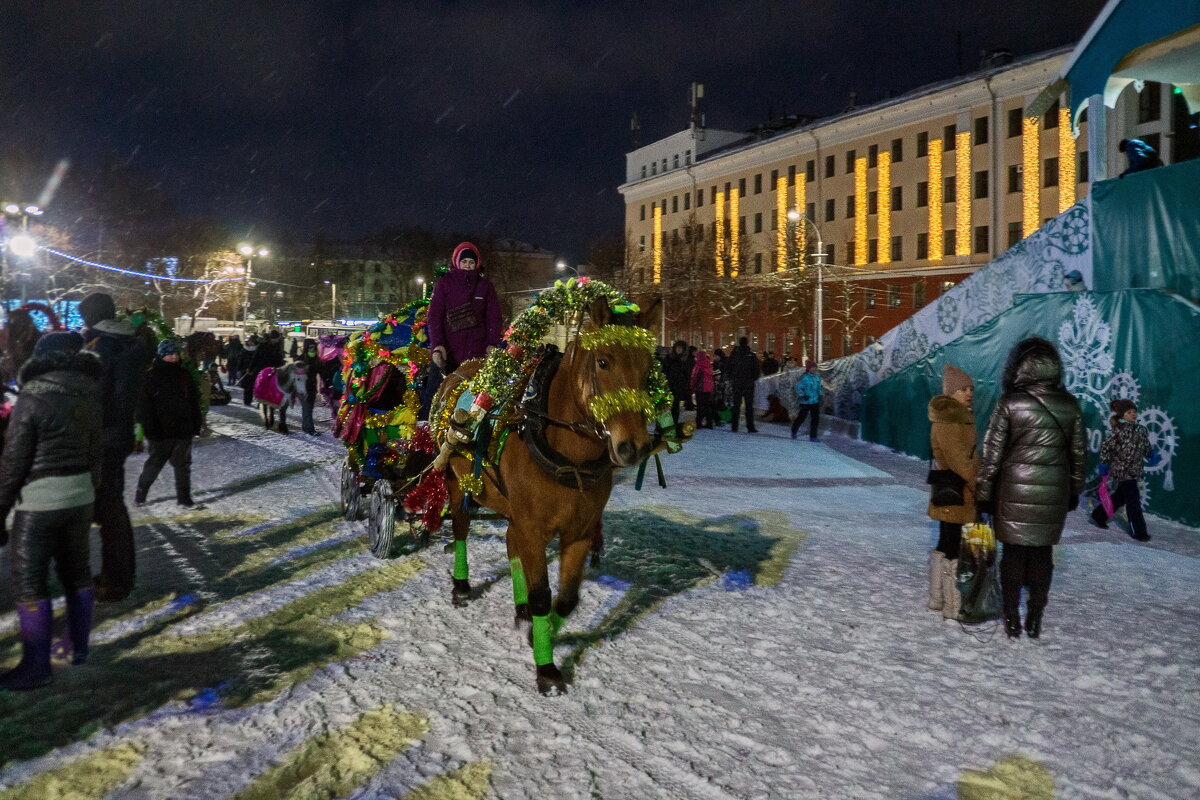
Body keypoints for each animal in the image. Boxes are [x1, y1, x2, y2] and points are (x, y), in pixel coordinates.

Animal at [432, 296, 657, 695]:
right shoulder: (534, 528)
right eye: (604, 361)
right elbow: (542, 595)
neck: (568, 457)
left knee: (510, 542)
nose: (634, 447)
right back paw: (461, 585)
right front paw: (547, 666)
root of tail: (458, 372)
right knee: (461, 528)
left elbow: (566, 599)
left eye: (648, 368)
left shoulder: (578, 532)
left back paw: (520, 611)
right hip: (458, 484)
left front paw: (544, 632)